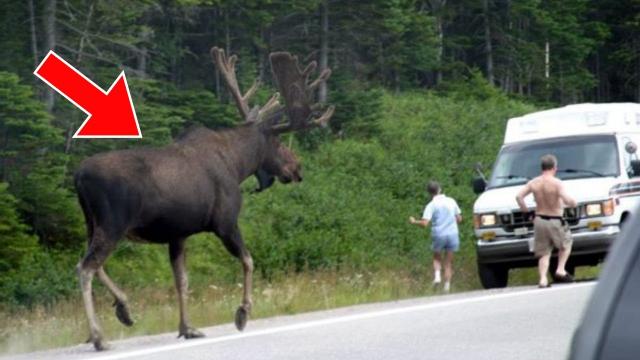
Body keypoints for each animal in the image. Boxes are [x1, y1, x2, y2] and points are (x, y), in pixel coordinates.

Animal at [74, 46, 336, 350]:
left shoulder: (177, 234)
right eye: (280, 142)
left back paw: (123, 308)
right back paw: (98, 336)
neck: (237, 164)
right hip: (113, 224)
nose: (297, 168)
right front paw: (243, 312)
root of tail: (78, 175)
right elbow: (249, 260)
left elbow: (182, 280)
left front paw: (187, 327)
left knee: (91, 264)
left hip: (92, 223)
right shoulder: (225, 222)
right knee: (85, 267)